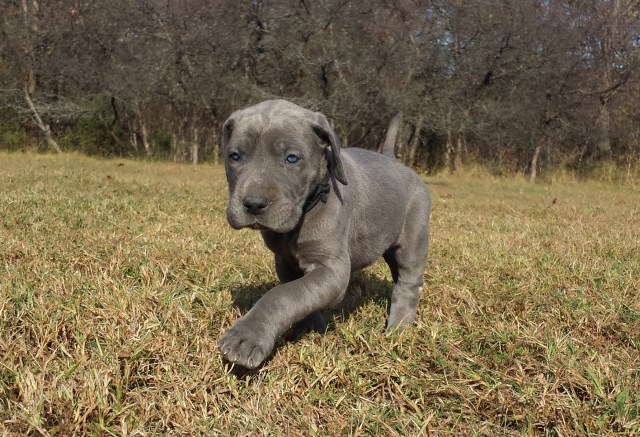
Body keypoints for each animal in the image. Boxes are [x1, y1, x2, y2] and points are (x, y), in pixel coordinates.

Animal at [218, 99, 432, 368]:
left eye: (292, 158)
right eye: (234, 156)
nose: (254, 204)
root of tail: (395, 162)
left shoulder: (332, 270)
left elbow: (282, 295)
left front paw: (247, 337)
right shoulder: (285, 263)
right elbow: (299, 295)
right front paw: (314, 330)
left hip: (413, 236)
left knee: (409, 282)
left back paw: (398, 328)